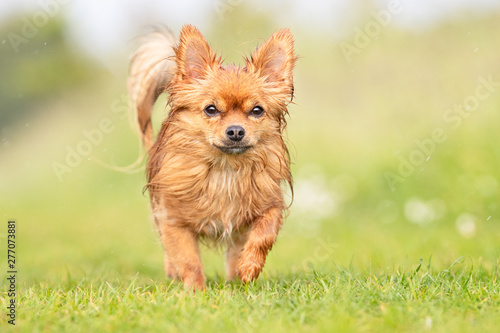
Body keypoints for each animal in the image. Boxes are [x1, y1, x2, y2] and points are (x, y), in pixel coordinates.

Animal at [128, 25, 296, 288]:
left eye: (257, 110)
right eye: (211, 109)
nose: (236, 131)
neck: (225, 168)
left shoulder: (269, 206)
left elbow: (263, 236)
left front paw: (249, 267)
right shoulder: (173, 220)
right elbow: (188, 260)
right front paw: (196, 290)